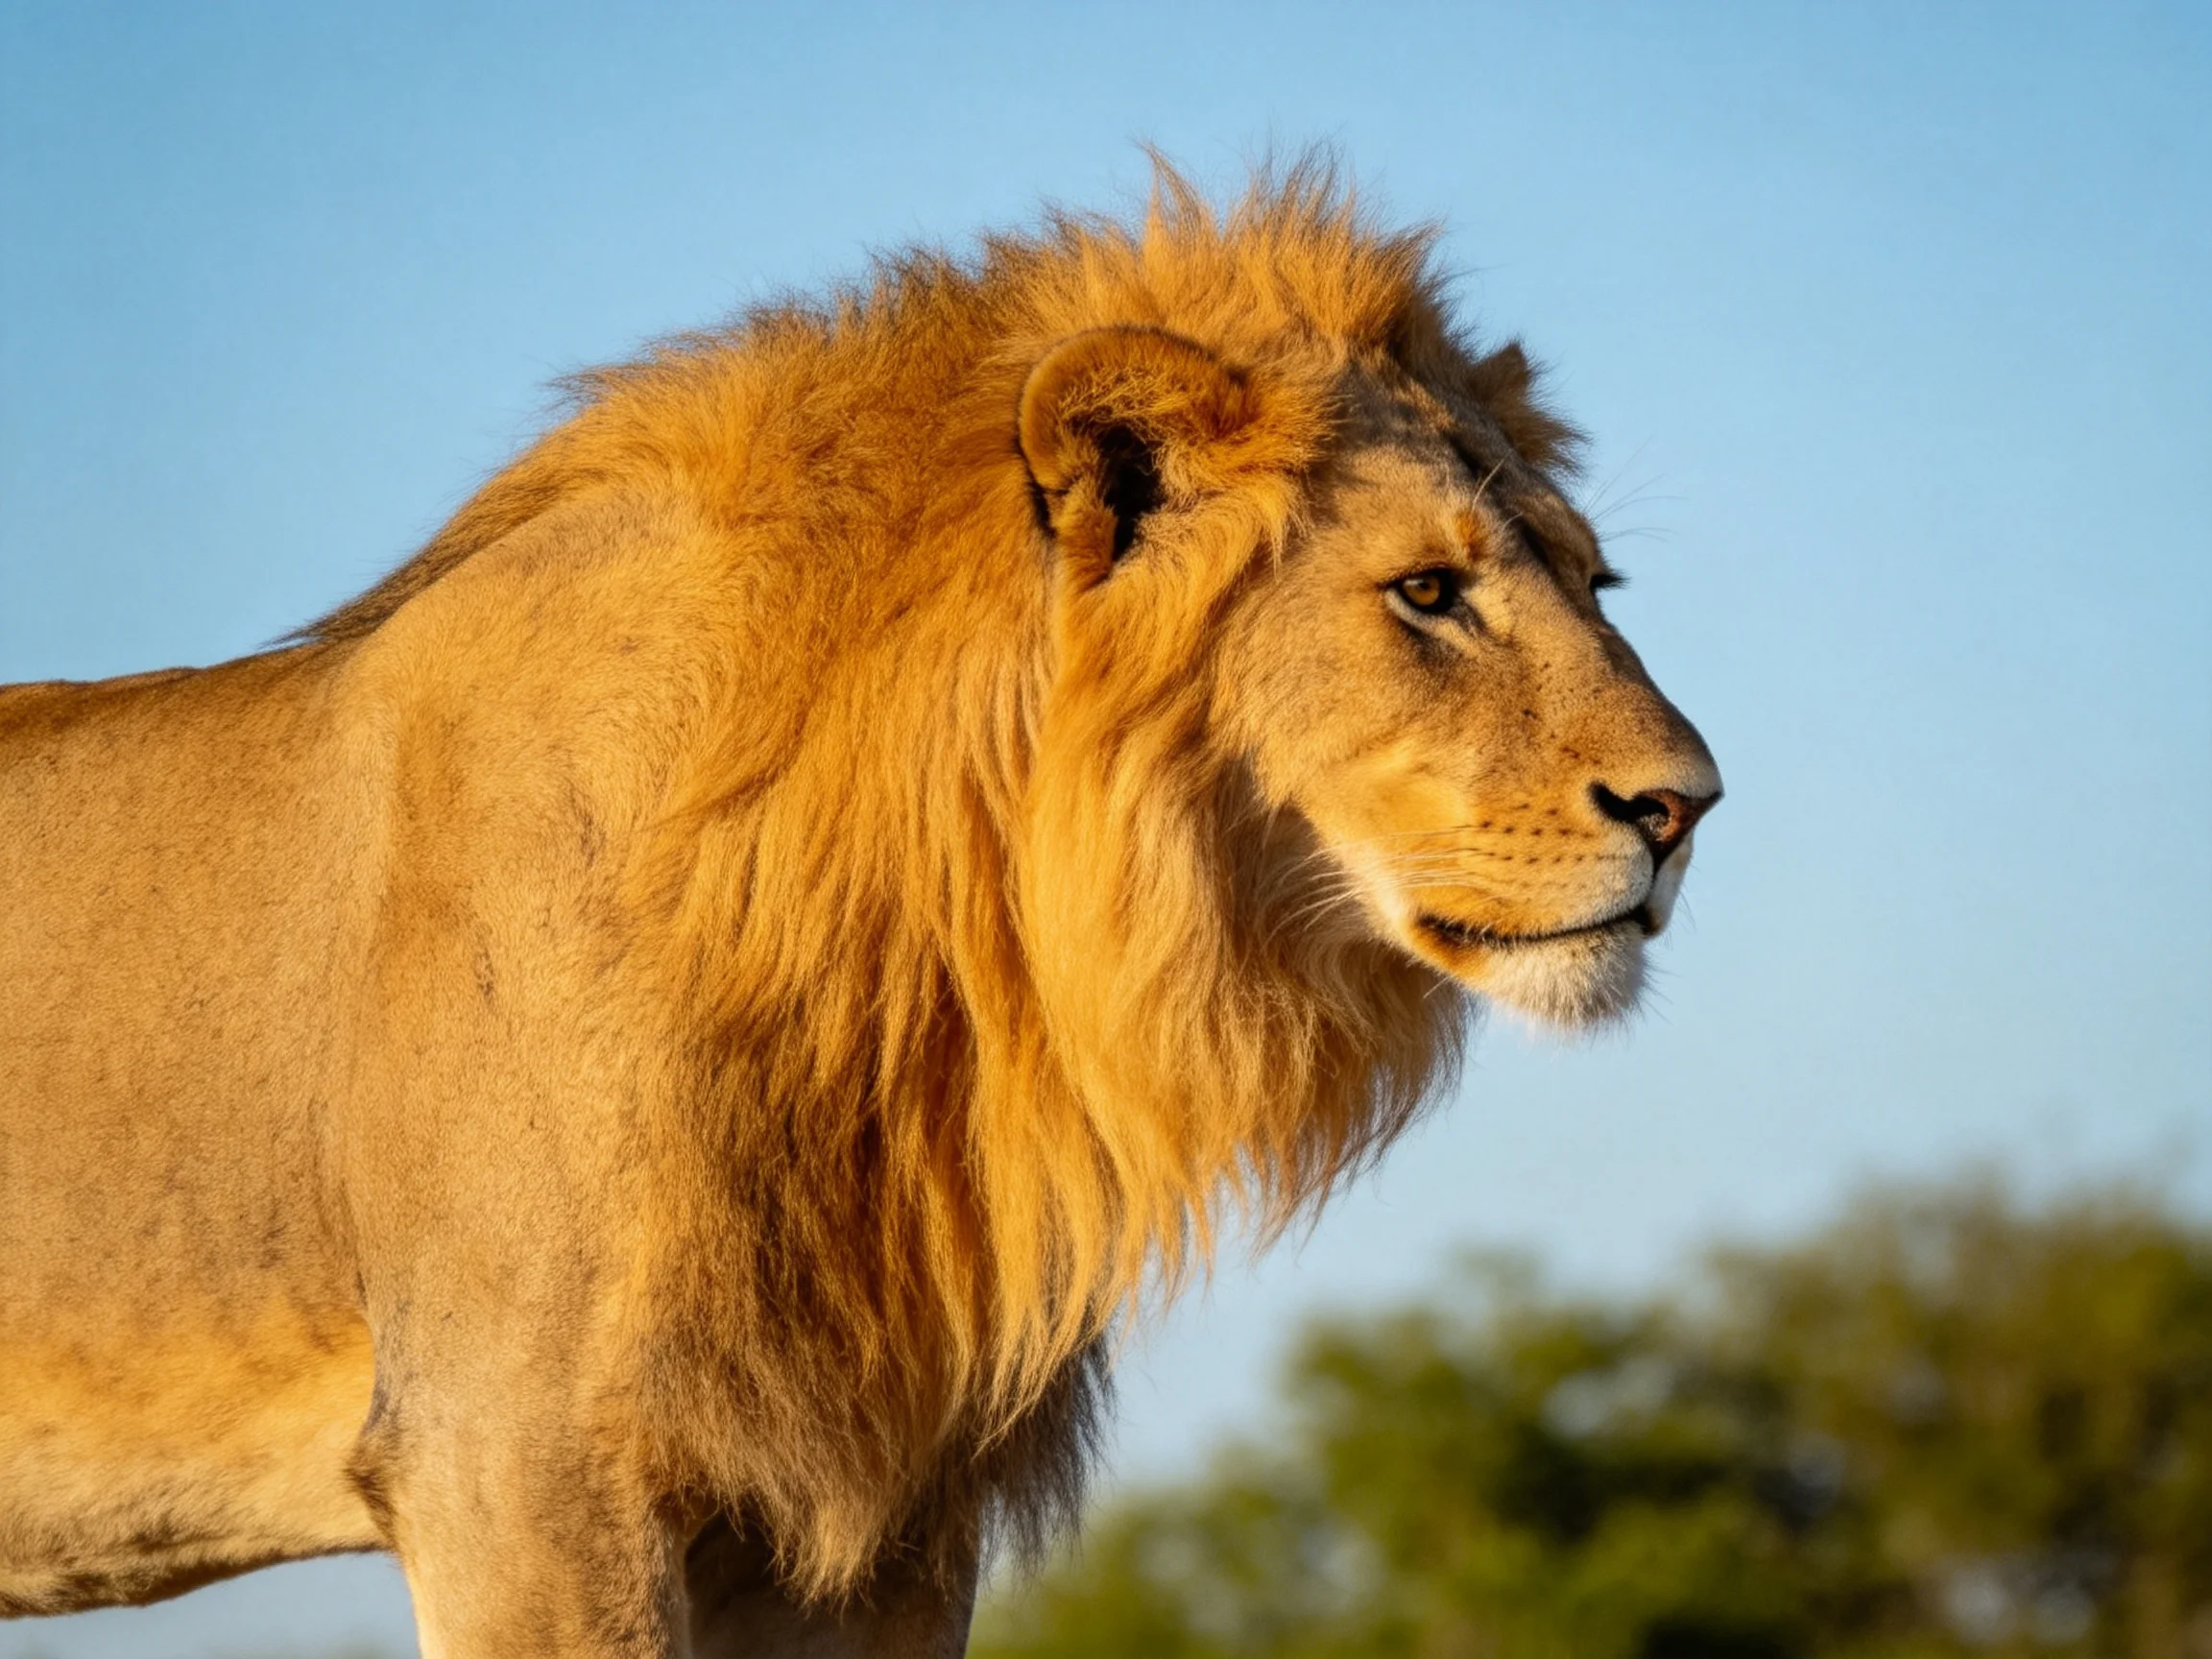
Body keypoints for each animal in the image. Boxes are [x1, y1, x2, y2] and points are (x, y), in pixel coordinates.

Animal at [0, 161, 1719, 1658]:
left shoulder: (875, 1514)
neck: (938, 970)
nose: (1687, 805)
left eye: (1596, 583)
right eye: (1428, 592)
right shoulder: (511, 1464)